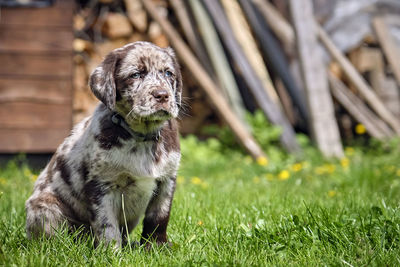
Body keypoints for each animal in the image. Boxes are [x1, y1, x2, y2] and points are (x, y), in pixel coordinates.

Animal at [25, 42, 181, 249]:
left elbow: (159, 218)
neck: (141, 136)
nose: (162, 96)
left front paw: (157, 247)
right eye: (136, 75)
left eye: (168, 73)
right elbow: (107, 225)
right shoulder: (101, 185)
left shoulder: (166, 180)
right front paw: (111, 252)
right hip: (45, 206)